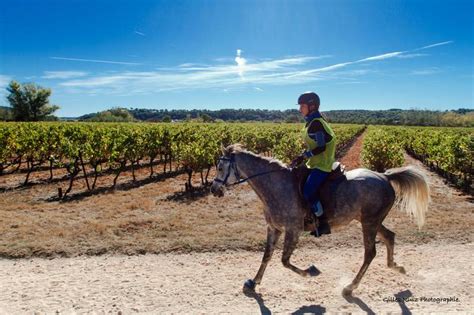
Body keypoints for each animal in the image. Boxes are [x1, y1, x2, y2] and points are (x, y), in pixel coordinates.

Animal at [211, 144, 430, 298]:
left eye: (220, 167)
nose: (214, 189)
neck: (276, 186)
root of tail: (384, 176)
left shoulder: (293, 230)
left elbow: (284, 261)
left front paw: (311, 271)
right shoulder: (274, 228)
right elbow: (267, 256)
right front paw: (253, 283)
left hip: (369, 223)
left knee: (370, 253)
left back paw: (350, 287)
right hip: (371, 221)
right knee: (389, 237)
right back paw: (396, 267)